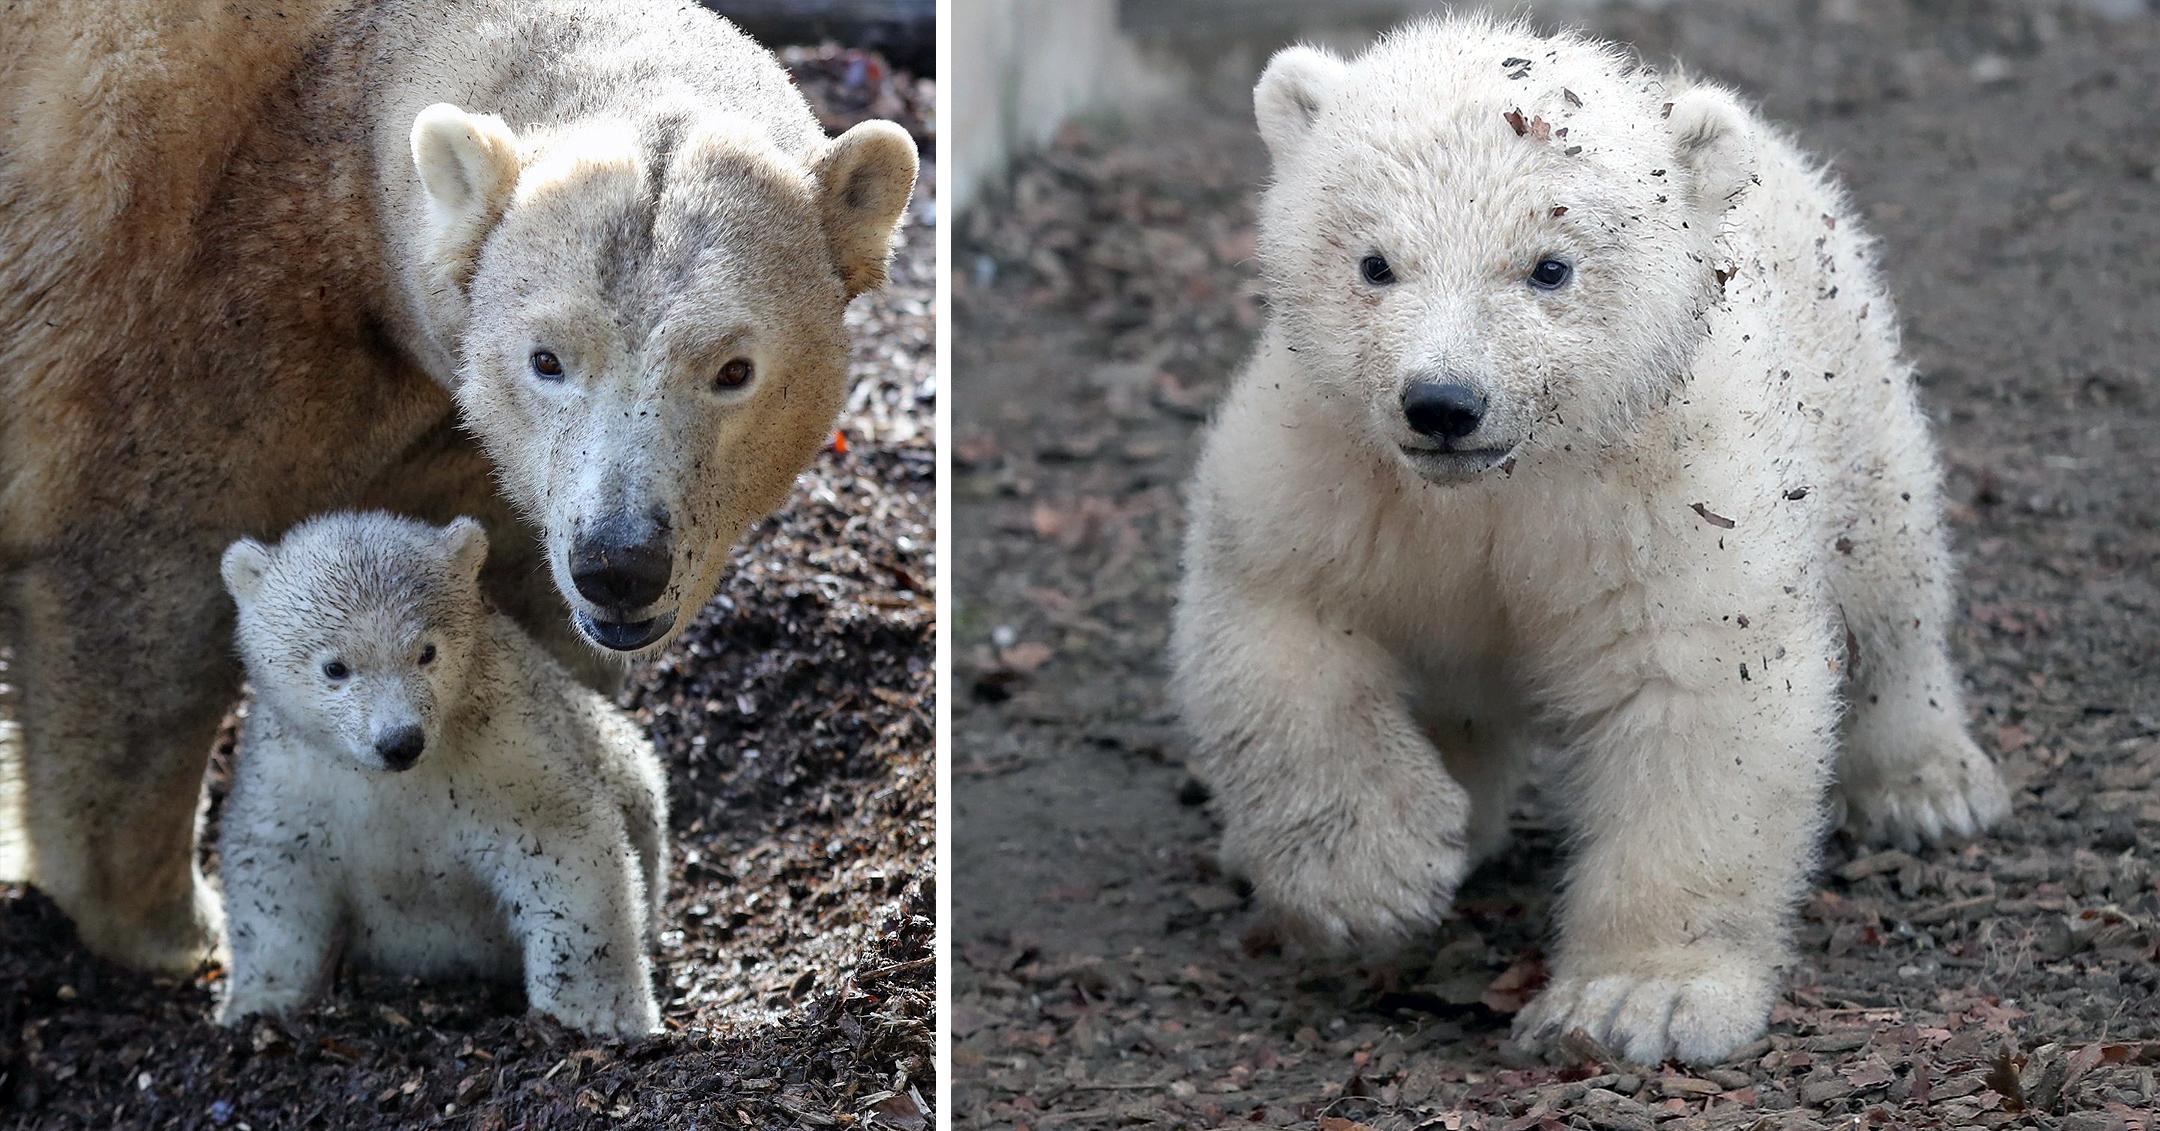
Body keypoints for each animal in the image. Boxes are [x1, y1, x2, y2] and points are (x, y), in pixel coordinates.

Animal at [0, 0, 911, 971]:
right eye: (547, 358)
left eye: (734, 369)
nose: (620, 562)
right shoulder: (179, 316)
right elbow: (137, 600)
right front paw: (172, 926)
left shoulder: (477, 440)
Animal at [1183, 15, 2004, 1061]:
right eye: (1374, 262)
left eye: (1548, 265)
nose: (1442, 403)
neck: (1504, 482)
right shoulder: (1329, 465)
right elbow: (1281, 625)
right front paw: (1377, 874)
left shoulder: (1671, 498)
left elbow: (1696, 695)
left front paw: (1637, 1000)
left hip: (1850, 393)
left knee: (1891, 589)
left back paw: (1927, 784)